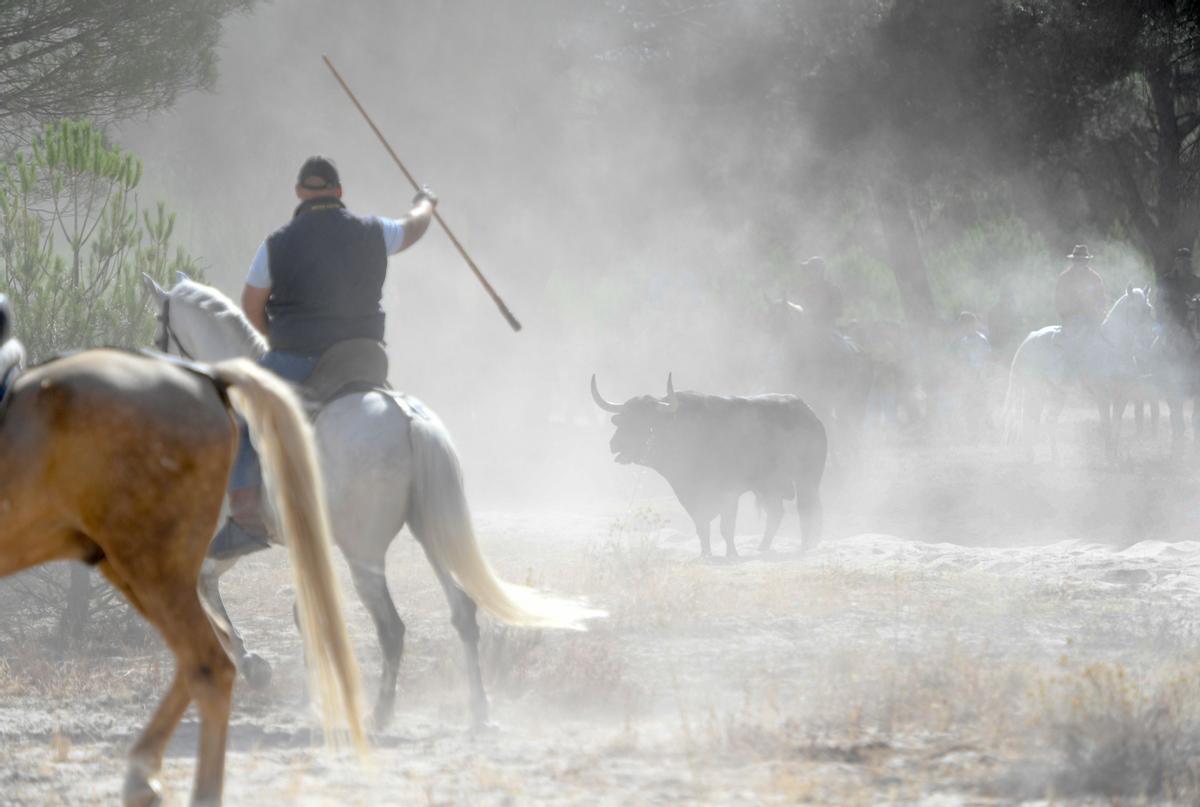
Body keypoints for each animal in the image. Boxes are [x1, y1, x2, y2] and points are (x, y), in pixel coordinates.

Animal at [0, 307, 364, 802]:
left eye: (160, 330)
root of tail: (208, 380)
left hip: (150, 563)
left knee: (210, 663)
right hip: (135, 563)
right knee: (205, 653)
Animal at [145, 272, 604, 730]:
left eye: (157, 330)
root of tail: (408, 418)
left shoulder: (229, 537)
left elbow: (206, 587)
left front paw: (255, 665)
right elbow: (302, 612)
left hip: (364, 555)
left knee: (392, 628)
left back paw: (382, 711)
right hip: (431, 534)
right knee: (462, 611)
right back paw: (477, 708)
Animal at [590, 377, 825, 554]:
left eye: (646, 422)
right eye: (624, 420)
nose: (614, 444)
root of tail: (811, 414)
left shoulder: (730, 493)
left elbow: (726, 527)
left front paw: (732, 554)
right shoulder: (690, 497)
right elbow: (702, 527)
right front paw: (706, 553)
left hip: (807, 480)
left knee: (807, 509)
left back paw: (805, 546)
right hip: (767, 487)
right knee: (777, 512)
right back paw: (763, 547)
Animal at [998, 285, 1156, 461]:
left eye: (1149, 308)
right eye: (1133, 308)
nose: (1150, 338)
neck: (1114, 348)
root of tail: (1030, 338)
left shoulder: (1122, 397)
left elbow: (1117, 426)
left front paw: (1115, 457)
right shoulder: (1103, 397)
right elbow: (1106, 425)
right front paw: (1109, 458)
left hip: (1057, 394)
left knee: (1048, 421)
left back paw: (1055, 458)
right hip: (1035, 392)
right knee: (1030, 420)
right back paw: (1030, 457)